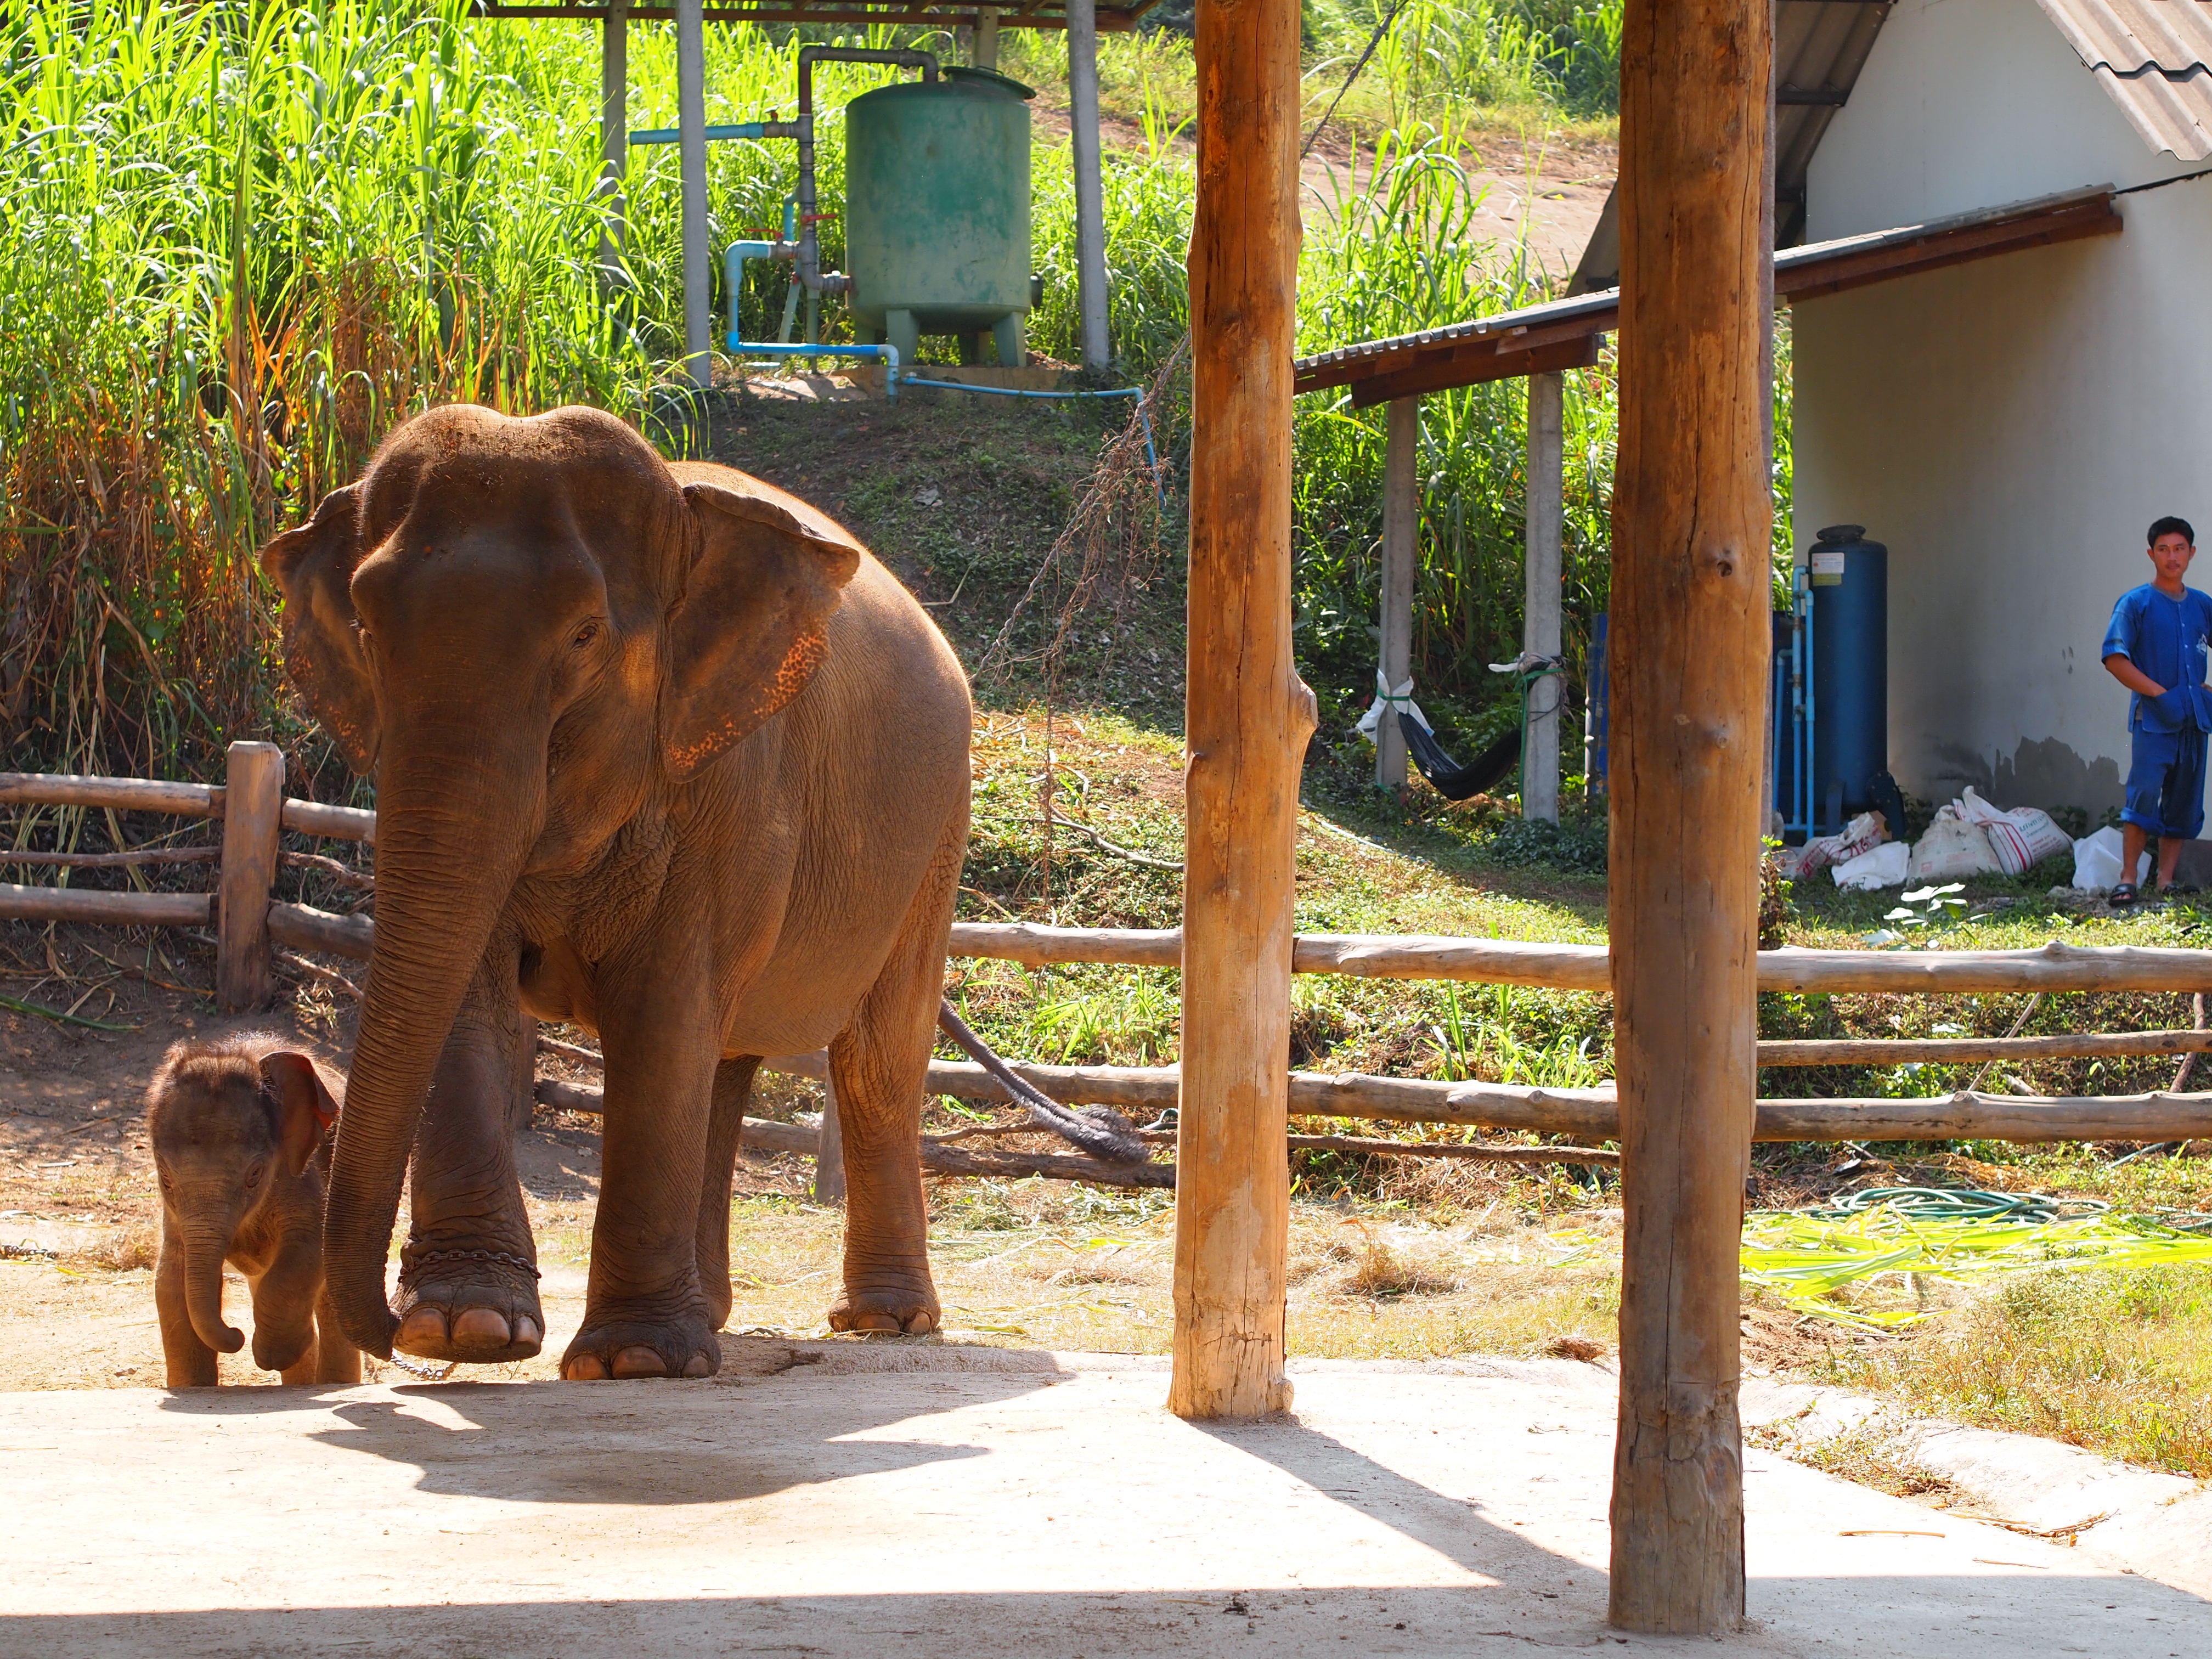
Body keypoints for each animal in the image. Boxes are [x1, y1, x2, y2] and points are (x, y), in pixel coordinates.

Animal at [147, 1035, 359, 1388]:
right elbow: (171, 1280)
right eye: (164, 1175)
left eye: (255, 1174)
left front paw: (275, 1354)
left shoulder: (301, 1174)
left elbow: (308, 1246)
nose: (237, 1334)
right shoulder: (174, 1215)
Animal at [260, 402, 972, 1380]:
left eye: (584, 637)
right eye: (365, 625)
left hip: (936, 835)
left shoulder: (727, 783)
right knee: (727, 1058)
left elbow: (662, 1006)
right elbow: (470, 990)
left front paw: (634, 1360)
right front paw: (468, 1330)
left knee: (875, 1059)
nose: (385, 1332)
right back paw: (715, 1313)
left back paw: (885, 1322)